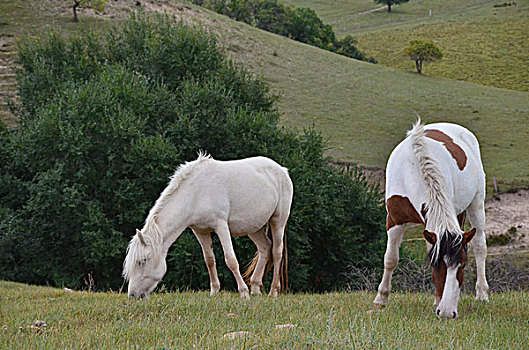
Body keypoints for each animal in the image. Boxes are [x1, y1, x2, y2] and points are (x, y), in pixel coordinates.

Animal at [123, 152, 292, 298]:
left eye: (142, 261)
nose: (133, 295)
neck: (195, 193)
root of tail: (282, 170)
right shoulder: (200, 231)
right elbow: (209, 260)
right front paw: (214, 291)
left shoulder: (221, 226)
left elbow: (231, 260)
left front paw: (243, 292)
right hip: (253, 227)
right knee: (265, 248)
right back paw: (256, 288)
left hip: (278, 220)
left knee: (277, 252)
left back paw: (273, 291)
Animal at [374, 119, 488, 318]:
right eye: (436, 264)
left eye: (463, 265)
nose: (447, 313)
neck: (413, 168)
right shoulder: (395, 220)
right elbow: (390, 258)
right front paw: (380, 299)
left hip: (476, 203)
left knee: (480, 246)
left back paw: (482, 294)